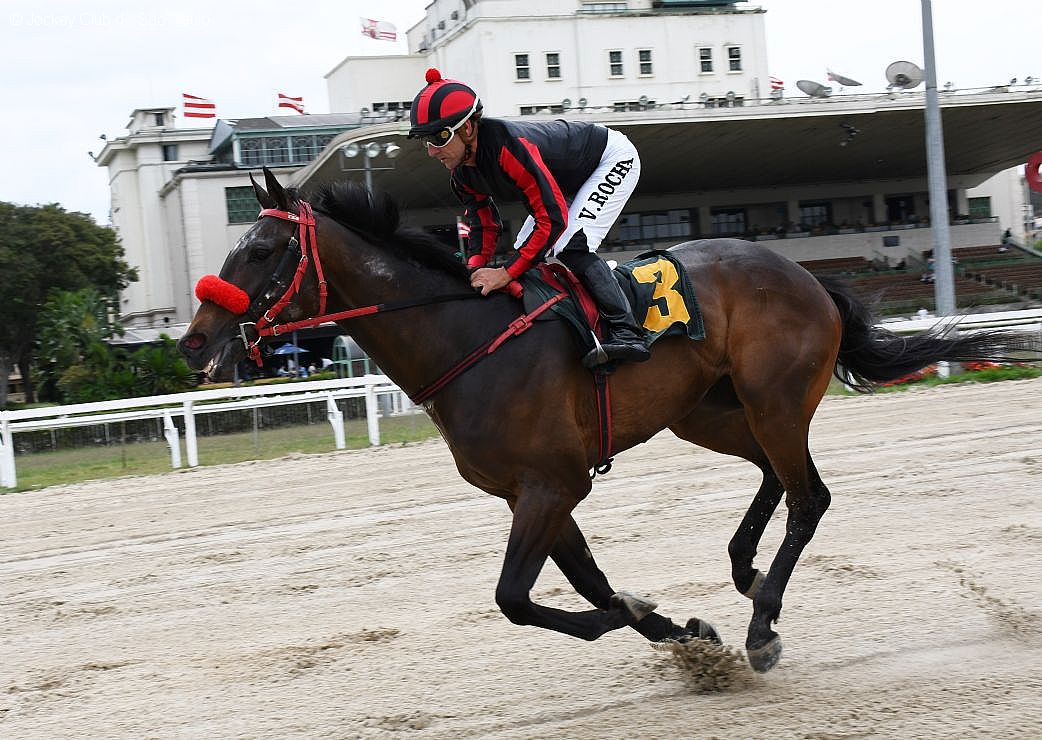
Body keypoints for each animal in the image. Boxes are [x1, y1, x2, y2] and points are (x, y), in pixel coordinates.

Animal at [179, 169, 1033, 679]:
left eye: (262, 249)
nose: (194, 341)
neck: (463, 337)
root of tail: (810, 277)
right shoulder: (536, 492)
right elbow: (584, 581)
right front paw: (681, 631)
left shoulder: (549, 486)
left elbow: (516, 599)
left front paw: (654, 619)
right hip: (708, 411)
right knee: (773, 479)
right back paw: (746, 572)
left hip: (775, 399)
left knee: (809, 496)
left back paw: (762, 623)